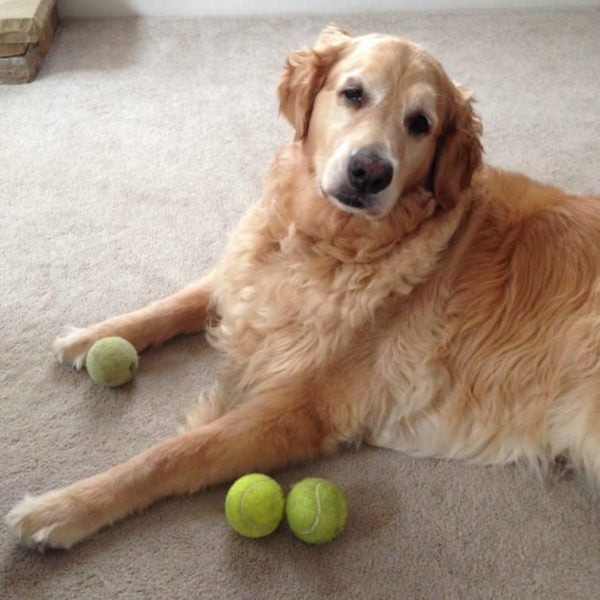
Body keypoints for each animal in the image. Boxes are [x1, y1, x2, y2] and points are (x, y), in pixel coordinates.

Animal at [5, 28, 600, 548]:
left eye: (420, 123)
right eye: (353, 93)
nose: (369, 171)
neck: (327, 241)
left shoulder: (295, 410)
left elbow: (172, 455)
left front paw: (63, 508)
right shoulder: (247, 273)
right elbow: (176, 303)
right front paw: (91, 337)